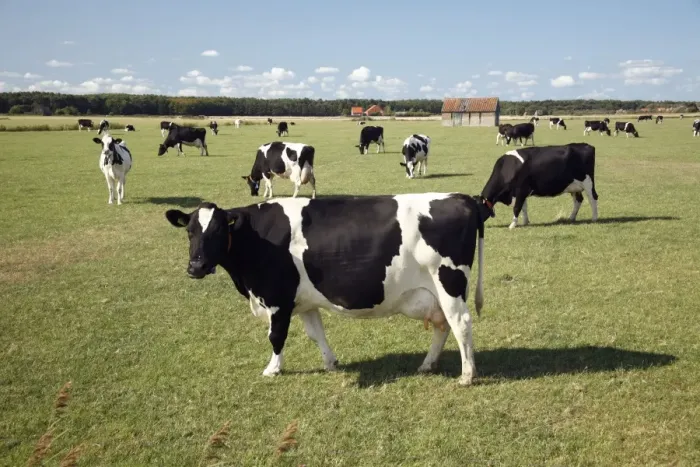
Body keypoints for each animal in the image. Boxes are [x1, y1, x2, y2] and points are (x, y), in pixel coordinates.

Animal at [165, 192, 490, 386]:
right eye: (190, 232)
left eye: (218, 231)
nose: (195, 266)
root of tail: (461, 197)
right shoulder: (305, 302)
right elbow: (315, 333)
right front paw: (331, 363)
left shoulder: (277, 299)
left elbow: (276, 336)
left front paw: (273, 369)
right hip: (436, 294)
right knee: (443, 325)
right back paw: (428, 364)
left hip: (449, 283)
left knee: (461, 324)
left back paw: (467, 375)